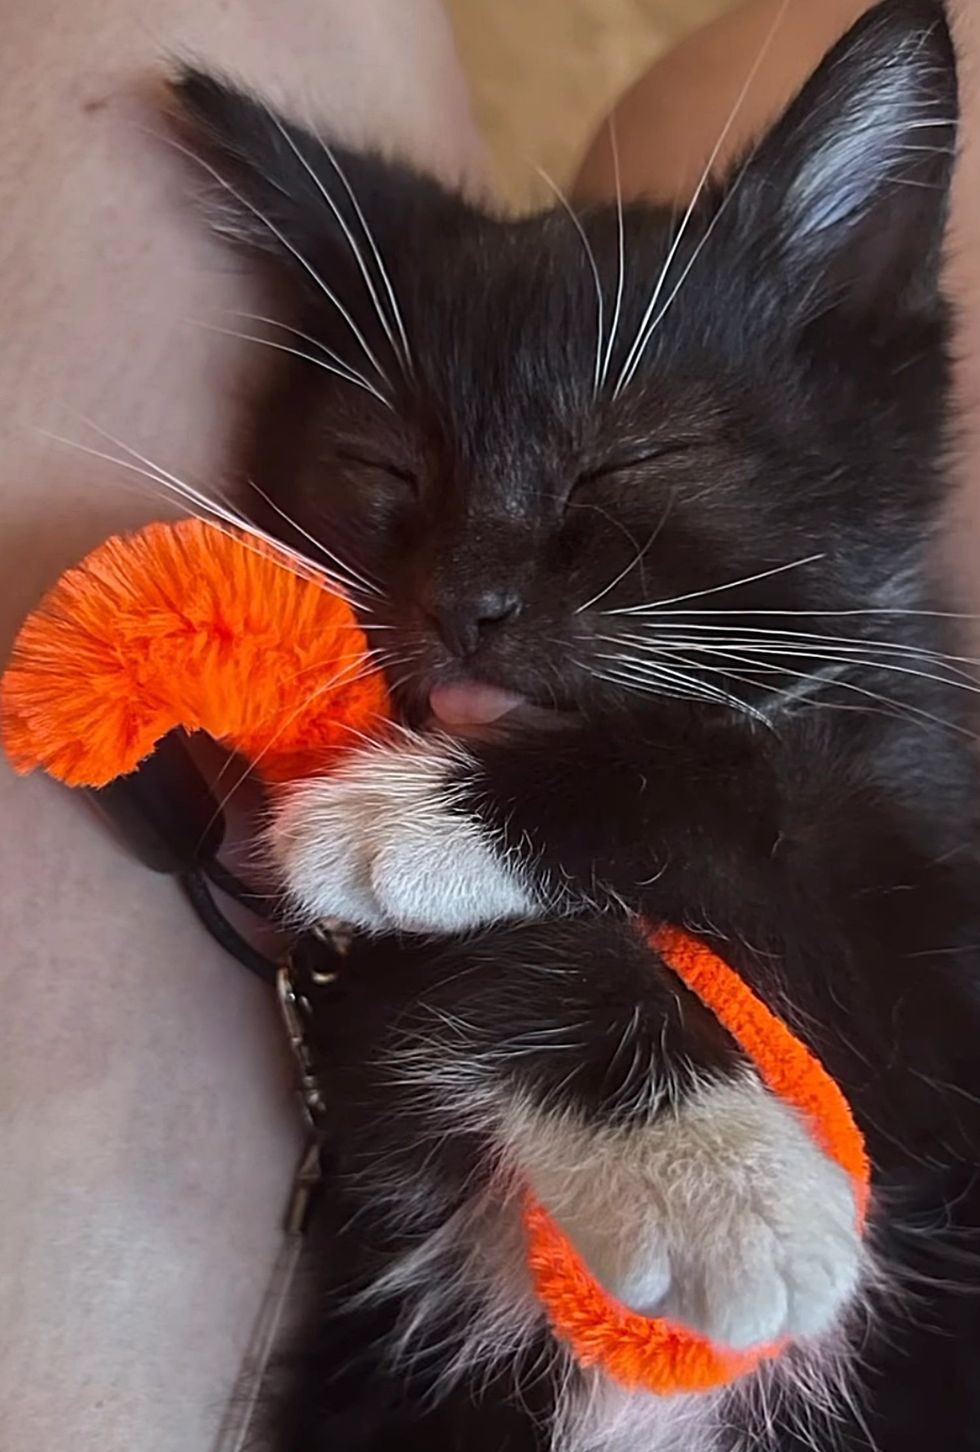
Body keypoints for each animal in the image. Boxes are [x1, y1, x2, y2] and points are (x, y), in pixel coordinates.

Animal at [172, 5, 980, 1446]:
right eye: (384, 464)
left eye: (632, 460)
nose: (468, 603)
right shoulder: (322, 1005)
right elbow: (426, 983)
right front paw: (724, 1177)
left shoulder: (939, 969)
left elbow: (751, 788)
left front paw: (410, 814)